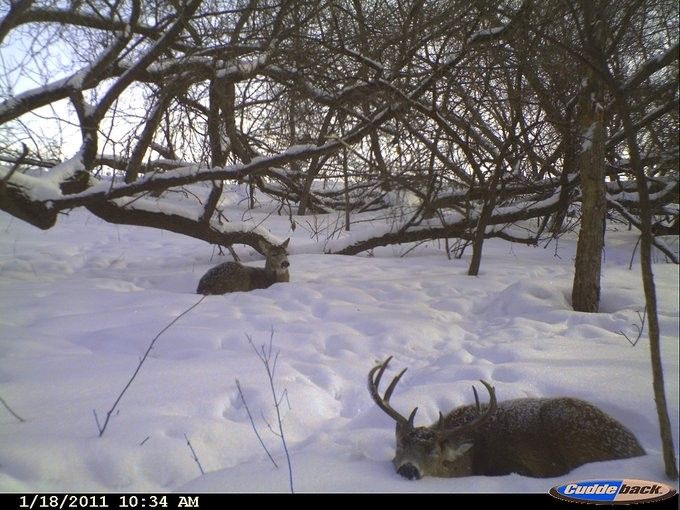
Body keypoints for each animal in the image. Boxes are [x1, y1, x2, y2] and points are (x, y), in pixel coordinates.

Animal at [368, 357, 645, 480]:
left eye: (434, 452)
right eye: (400, 444)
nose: (408, 469)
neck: (470, 462)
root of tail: (637, 448)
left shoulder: (517, 465)